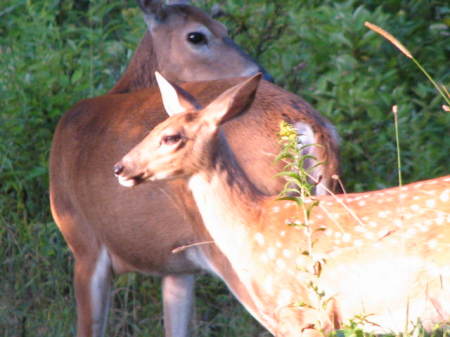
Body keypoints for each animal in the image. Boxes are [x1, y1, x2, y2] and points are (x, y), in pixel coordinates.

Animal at [48, 1, 338, 334]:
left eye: (222, 28)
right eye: (197, 35)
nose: (264, 73)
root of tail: (308, 124)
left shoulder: (84, 244)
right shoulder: (178, 268)